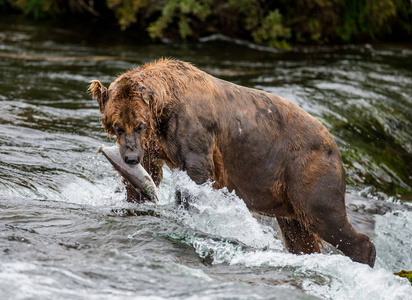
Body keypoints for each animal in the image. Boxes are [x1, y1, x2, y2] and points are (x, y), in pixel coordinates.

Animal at [90, 58, 376, 268]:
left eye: (139, 124)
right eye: (117, 126)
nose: (130, 157)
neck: (163, 114)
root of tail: (334, 143)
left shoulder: (193, 134)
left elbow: (196, 177)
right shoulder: (156, 145)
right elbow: (149, 174)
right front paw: (134, 196)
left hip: (306, 169)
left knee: (324, 216)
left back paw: (363, 255)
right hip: (285, 193)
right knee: (300, 233)